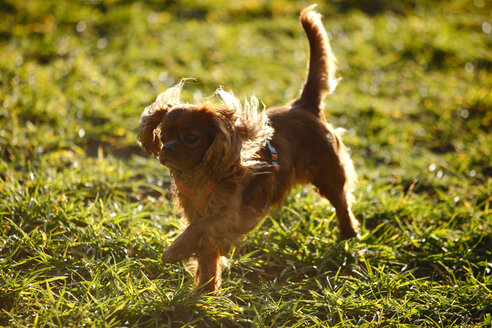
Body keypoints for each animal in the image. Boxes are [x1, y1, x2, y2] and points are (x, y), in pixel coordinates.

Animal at [136, 4, 360, 292]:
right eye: (163, 136)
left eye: (191, 138)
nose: (168, 149)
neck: (202, 175)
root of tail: (303, 105)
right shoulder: (198, 214)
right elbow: (207, 255)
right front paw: (206, 290)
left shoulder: (228, 217)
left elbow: (198, 230)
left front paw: (175, 251)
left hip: (329, 175)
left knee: (343, 204)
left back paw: (348, 236)